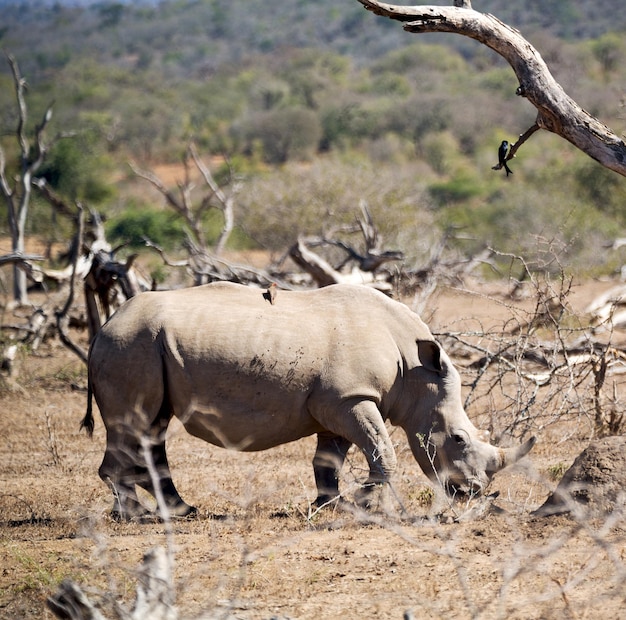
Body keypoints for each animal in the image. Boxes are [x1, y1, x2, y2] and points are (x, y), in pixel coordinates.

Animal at [80, 280, 532, 520]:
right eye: (458, 438)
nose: (473, 493)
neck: (415, 370)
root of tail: (103, 328)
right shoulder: (352, 397)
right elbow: (383, 450)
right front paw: (365, 505)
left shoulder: (340, 402)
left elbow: (328, 459)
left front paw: (332, 505)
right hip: (130, 346)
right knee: (134, 425)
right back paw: (134, 516)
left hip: (141, 346)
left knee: (151, 427)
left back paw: (180, 510)